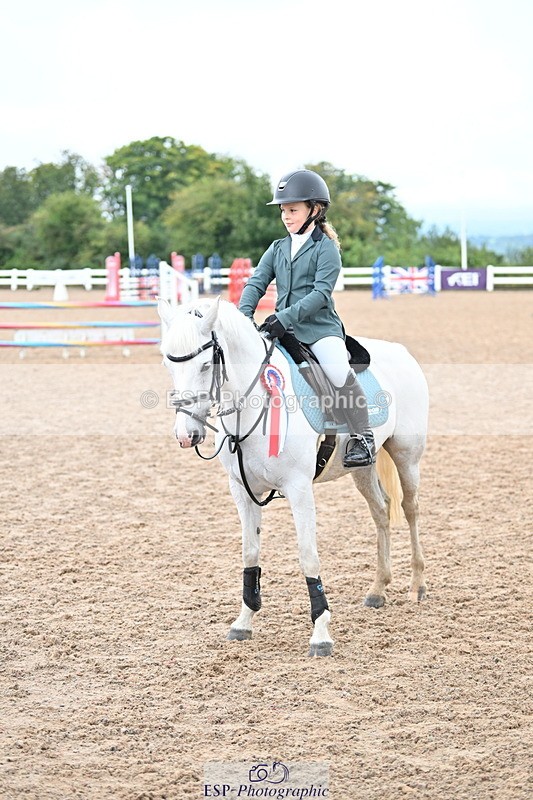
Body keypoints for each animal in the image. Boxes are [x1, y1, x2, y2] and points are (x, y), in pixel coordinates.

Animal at [158, 297, 429, 657]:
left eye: (204, 366)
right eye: (168, 365)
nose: (186, 435)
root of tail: (401, 352)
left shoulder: (299, 489)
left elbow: (308, 556)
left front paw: (321, 634)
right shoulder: (242, 491)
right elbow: (250, 552)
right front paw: (243, 622)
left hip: (406, 455)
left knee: (411, 510)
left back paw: (417, 585)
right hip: (362, 468)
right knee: (381, 512)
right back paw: (377, 589)